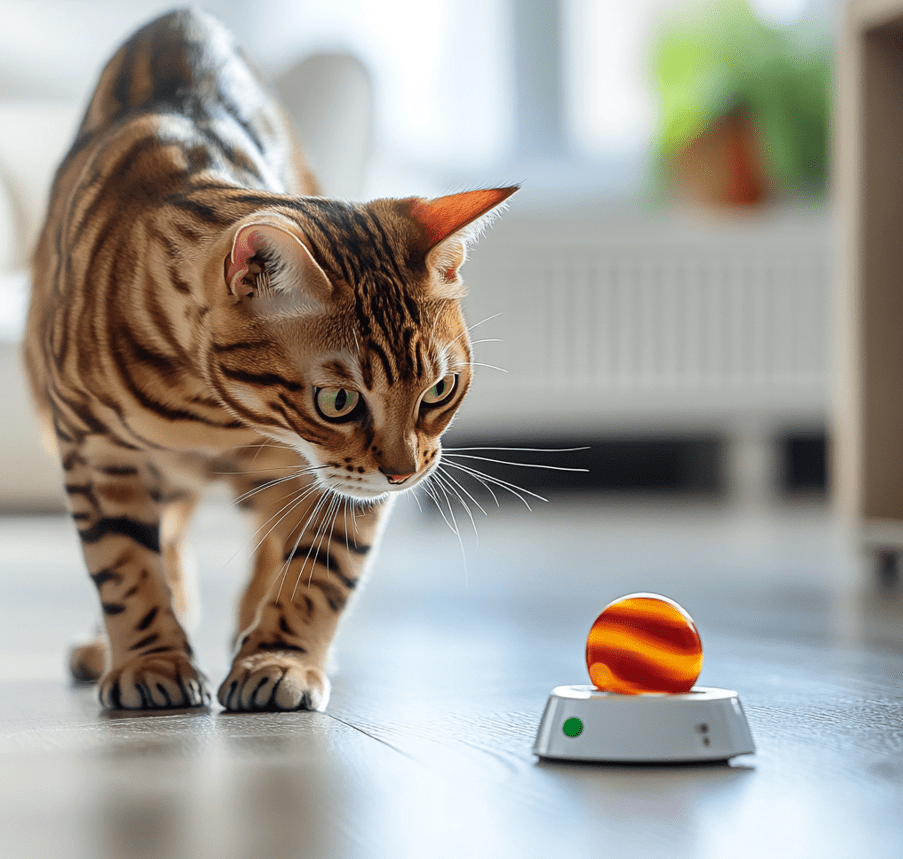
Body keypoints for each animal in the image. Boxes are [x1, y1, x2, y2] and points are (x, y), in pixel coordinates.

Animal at [24, 8, 520, 712]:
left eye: (439, 391)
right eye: (338, 400)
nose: (404, 474)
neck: (210, 415)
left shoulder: (342, 482)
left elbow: (320, 569)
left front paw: (279, 658)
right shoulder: (94, 448)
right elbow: (125, 564)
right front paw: (151, 659)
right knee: (165, 537)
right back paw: (110, 643)